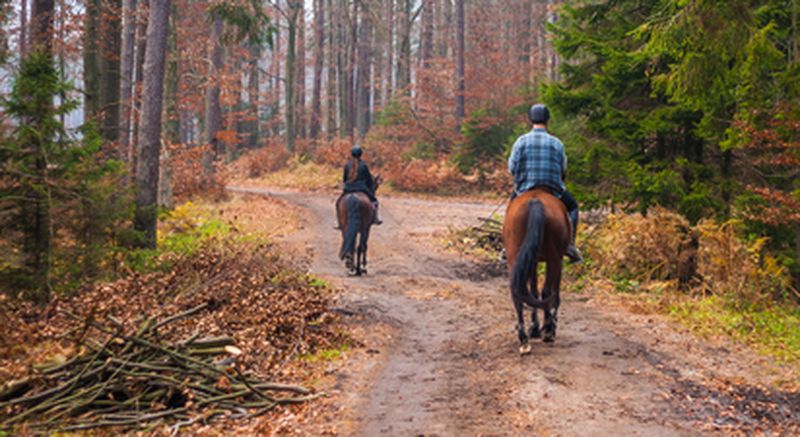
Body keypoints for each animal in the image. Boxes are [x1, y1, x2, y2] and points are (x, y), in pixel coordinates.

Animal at [502, 188, 571, 354]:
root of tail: (535, 201)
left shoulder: (531, 260)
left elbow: (533, 291)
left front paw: (534, 328)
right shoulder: (555, 260)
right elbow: (549, 292)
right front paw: (545, 329)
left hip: (515, 258)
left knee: (517, 295)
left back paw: (524, 340)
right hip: (555, 259)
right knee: (550, 293)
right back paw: (548, 332)